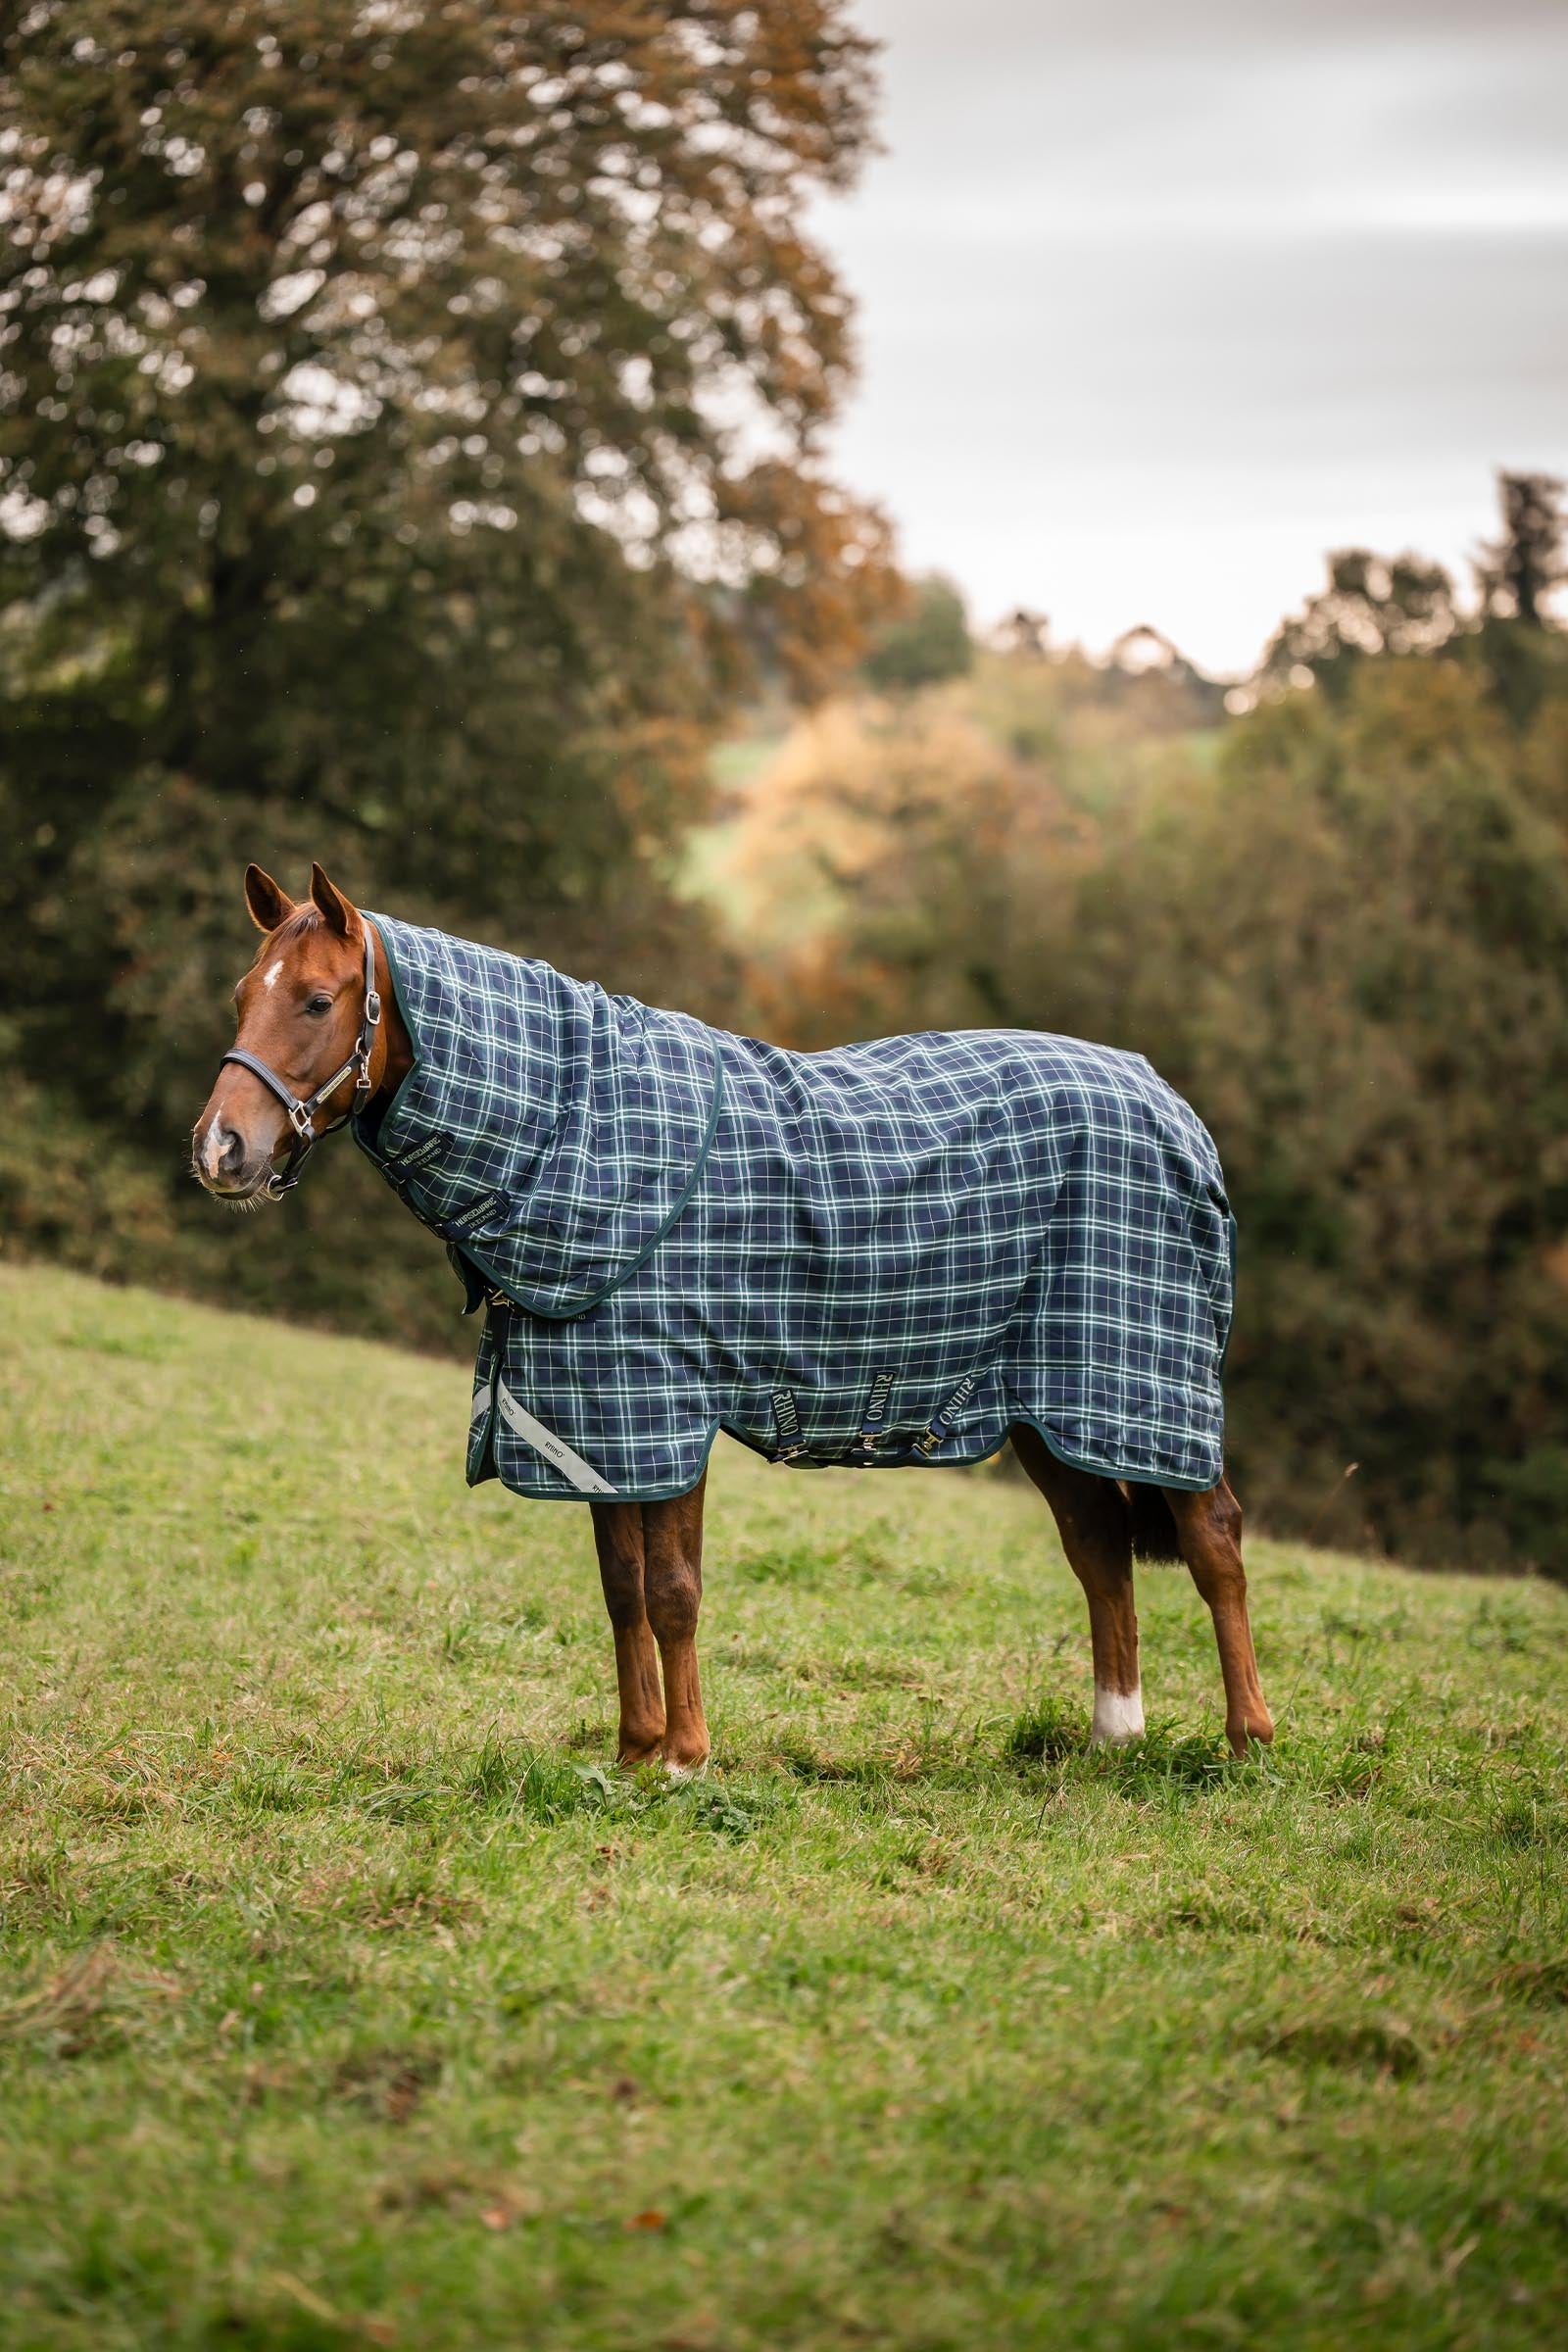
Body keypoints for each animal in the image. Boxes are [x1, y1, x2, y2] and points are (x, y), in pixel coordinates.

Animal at [193, 862, 1274, 1773]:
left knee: (1213, 1538)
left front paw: (685, 1758)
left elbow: (673, 1590)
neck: (580, 1136)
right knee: (1098, 1546)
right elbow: (621, 1588)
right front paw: (634, 1753)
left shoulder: (669, 1406)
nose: (219, 1150)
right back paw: (1112, 1738)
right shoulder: (599, 1419)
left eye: (318, 1001)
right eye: (244, 994)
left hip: (1144, 1384)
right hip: (1047, 1405)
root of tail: (1171, 1105)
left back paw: (1245, 1741)